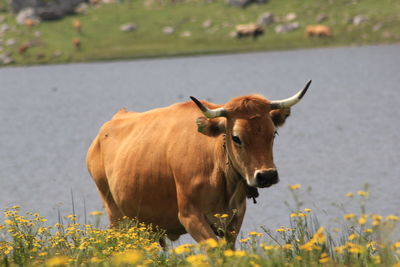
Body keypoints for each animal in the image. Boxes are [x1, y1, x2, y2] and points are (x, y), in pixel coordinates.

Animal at [86, 80, 312, 246]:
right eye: (236, 137)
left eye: (273, 133)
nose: (266, 175)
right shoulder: (190, 216)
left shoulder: (235, 217)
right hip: (115, 215)